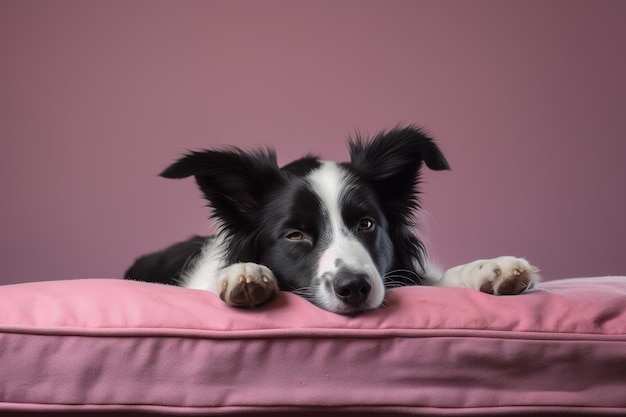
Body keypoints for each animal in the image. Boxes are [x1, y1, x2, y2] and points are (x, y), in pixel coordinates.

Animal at [127, 125, 536, 314]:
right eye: (294, 235)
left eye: (366, 224)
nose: (354, 287)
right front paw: (244, 274)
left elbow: (433, 278)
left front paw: (492, 269)